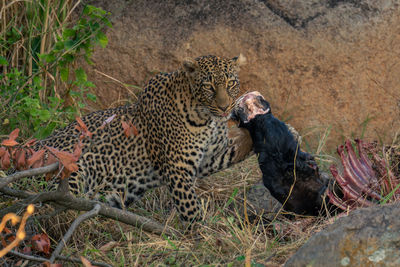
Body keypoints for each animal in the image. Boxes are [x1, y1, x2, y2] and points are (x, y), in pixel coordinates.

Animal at [35, 55, 253, 222]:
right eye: (208, 86)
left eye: (231, 83)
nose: (225, 107)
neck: (208, 119)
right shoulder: (178, 167)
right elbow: (190, 206)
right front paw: (200, 236)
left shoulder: (209, 159)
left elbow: (235, 150)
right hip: (71, 166)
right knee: (58, 207)